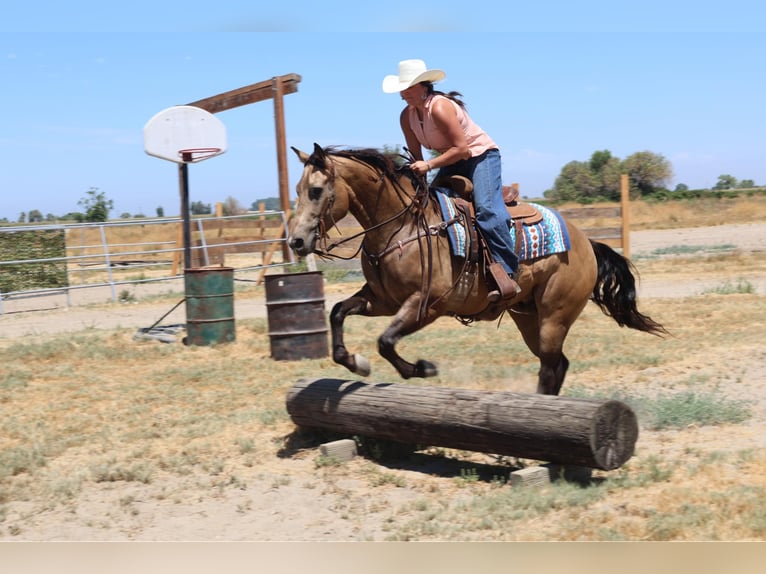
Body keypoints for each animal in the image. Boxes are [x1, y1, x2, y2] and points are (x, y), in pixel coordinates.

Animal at [288, 144, 664, 396]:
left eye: (316, 190)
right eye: (297, 190)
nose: (296, 240)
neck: (402, 227)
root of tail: (587, 243)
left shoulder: (427, 304)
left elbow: (385, 341)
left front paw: (422, 368)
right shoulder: (382, 300)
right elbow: (338, 312)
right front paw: (354, 361)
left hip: (554, 317)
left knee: (549, 367)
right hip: (529, 317)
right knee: (558, 365)